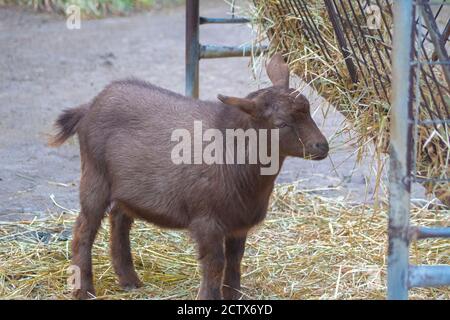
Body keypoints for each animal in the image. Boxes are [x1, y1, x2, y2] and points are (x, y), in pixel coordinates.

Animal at [51, 53, 328, 300]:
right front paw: (209, 297)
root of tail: (88, 107)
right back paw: (85, 291)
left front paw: (233, 295)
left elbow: (235, 260)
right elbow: (215, 264)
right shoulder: (207, 220)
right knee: (84, 230)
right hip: (94, 175)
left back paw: (129, 280)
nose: (322, 146)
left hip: (128, 188)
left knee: (119, 218)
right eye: (281, 124)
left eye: (308, 110)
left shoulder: (238, 222)